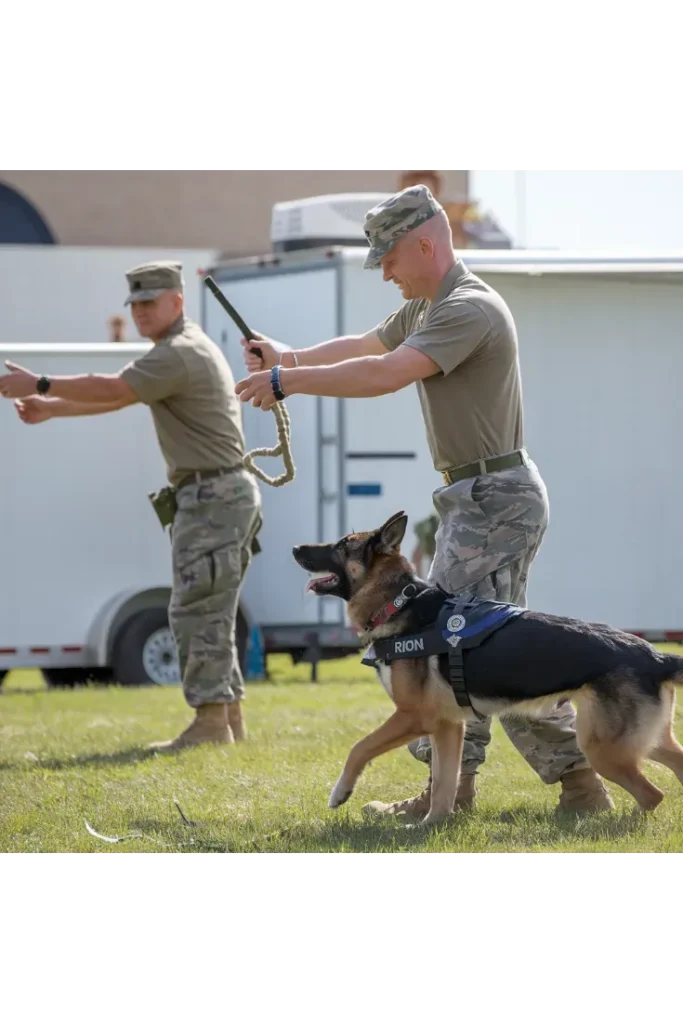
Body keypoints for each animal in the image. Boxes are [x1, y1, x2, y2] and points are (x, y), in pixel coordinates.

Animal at [294, 512, 683, 823]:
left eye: (341, 546)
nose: (296, 548)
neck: (397, 603)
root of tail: (656, 657)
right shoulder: (447, 726)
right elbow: (444, 784)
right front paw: (431, 825)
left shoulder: (414, 716)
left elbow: (360, 747)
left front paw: (340, 793)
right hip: (639, 741)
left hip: (602, 747)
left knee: (653, 795)